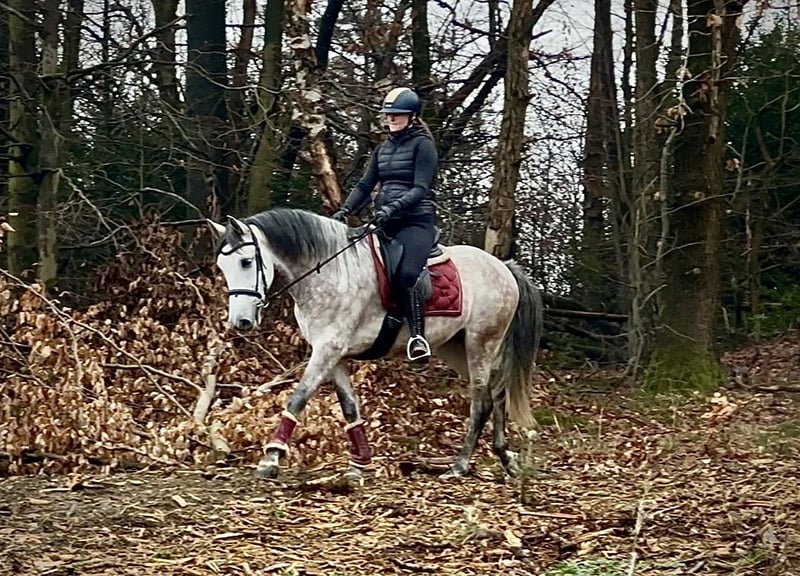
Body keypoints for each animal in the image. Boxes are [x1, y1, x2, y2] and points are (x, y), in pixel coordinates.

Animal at [207, 208, 543, 480]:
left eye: (246, 262)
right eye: (223, 268)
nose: (241, 322)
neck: (330, 272)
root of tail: (503, 268)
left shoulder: (327, 350)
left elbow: (297, 399)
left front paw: (272, 457)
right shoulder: (334, 355)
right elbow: (349, 408)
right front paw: (360, 464)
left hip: (480, 344)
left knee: (482, 401)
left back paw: (459, 466)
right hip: (457, 348)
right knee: (497, 394)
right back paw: (505, 457)